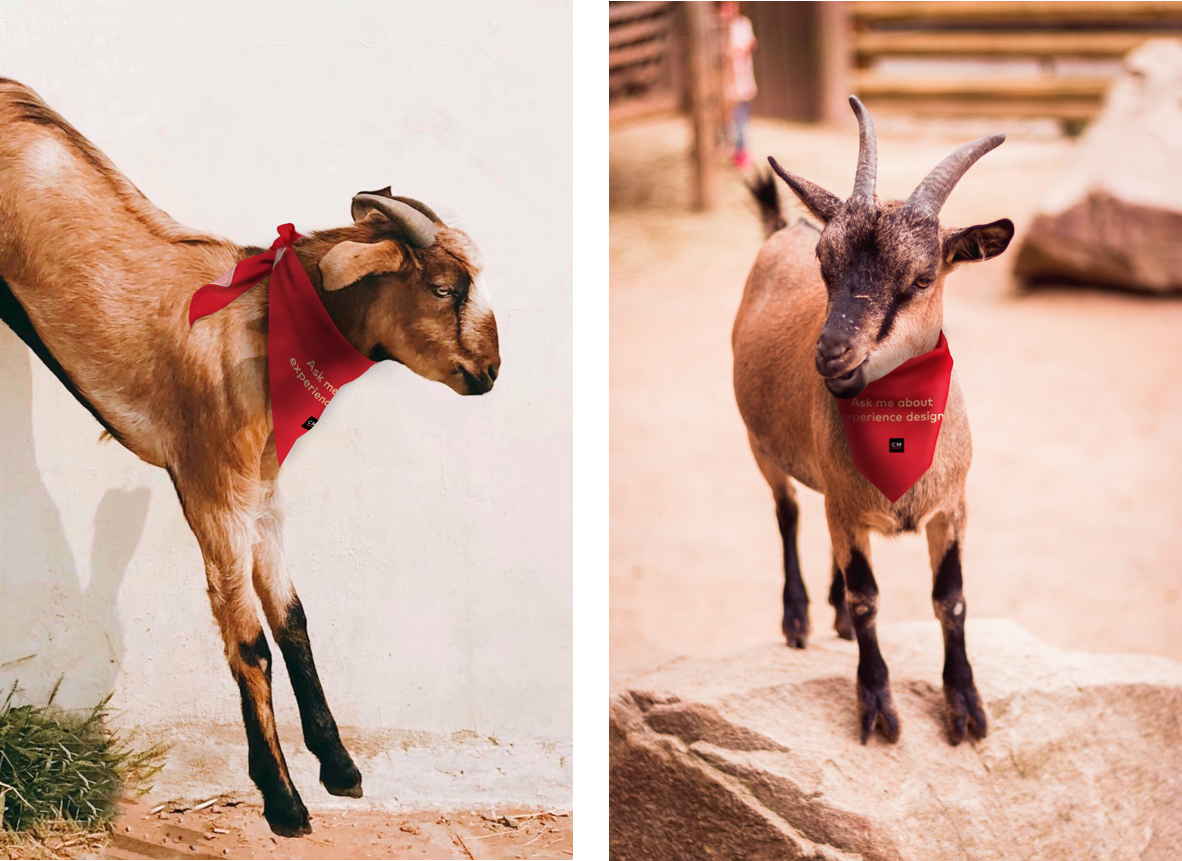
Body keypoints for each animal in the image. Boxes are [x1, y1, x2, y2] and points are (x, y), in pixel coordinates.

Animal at [0, 78, 500, 835]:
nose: (490, 371)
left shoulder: (262, 490)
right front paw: (283, 799)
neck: (262, 325)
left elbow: (292, 617)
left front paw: (340, 767)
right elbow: (249, 639)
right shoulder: (214, 488)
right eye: (444, 288)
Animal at [733, 96, 1013, 745]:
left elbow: (950, 599)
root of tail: (783, 228)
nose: (832, 353)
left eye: (922, 278)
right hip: (760, 445)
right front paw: (879, 708)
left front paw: (966, 707)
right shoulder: (841, 503)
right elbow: (868, 599)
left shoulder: (952, 507)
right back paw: (798, 618)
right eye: (824, 266)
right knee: (787, 513)